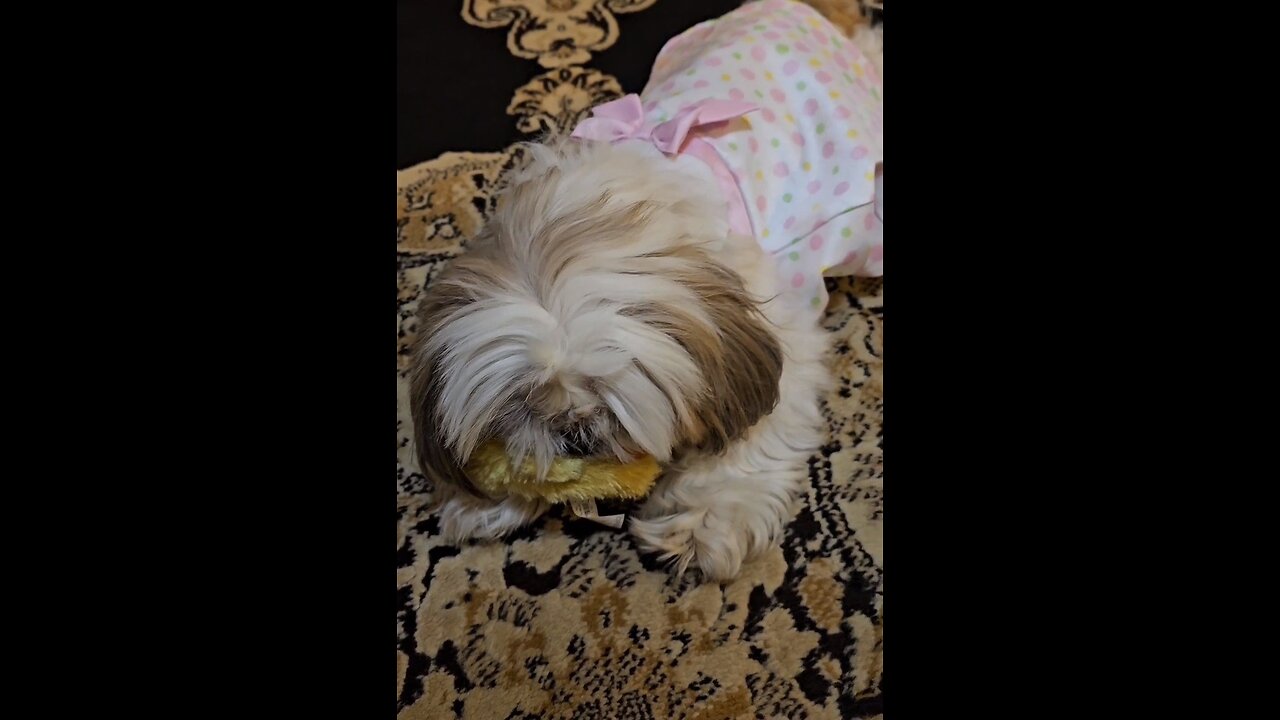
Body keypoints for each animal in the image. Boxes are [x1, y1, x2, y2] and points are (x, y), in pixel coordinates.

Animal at [409, 0, 880, 576]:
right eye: (523, 403)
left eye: (606, 395)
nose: (573, 428)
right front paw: (488, 500)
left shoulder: (784, 336)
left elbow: (756, 437)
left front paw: (706, 517)